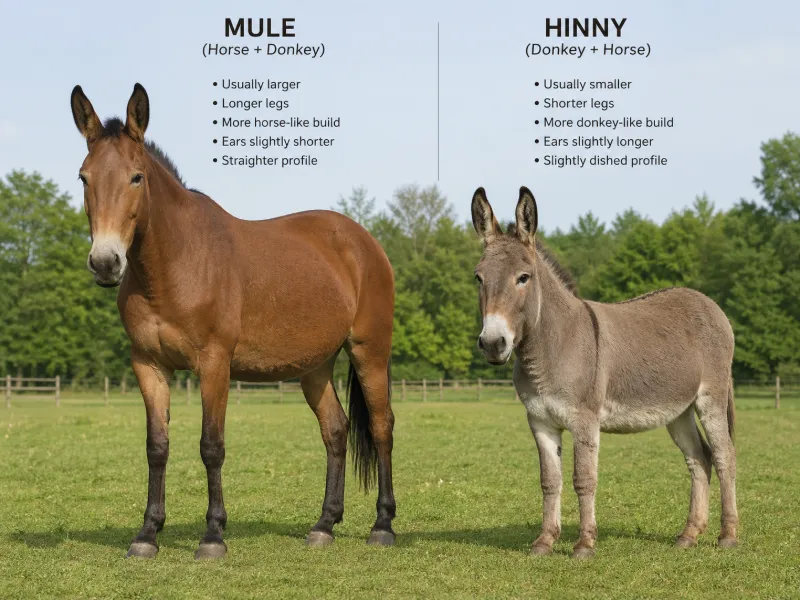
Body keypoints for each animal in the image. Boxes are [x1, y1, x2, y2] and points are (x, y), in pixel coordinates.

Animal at [70, 83, 397, 559]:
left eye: (137, 177)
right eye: (84, 178)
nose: (106, 262)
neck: (176, 263)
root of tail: (363, 242)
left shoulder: (214, 365)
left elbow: (211, 446)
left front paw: (212, 536)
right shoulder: (148, 366)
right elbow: (157, 447)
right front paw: (147, 534)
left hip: (369, 351)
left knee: (381, 426)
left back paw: (383, 525)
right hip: (315, 367)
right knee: (336, 430)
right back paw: (323, 525)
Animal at [471, 186, 737, 558]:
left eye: (523, 278)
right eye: (478, 278)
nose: (493, 344)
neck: (551, 347)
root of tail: (707, 301)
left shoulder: (585, 419)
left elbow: (584, 479)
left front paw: (584, 544)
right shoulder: (539, 421)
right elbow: (549, 481)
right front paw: (544, 541)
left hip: (711, 398)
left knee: (725, 456)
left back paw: (728, 535)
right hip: (678, 410)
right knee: (700, 459)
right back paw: (689, 535)